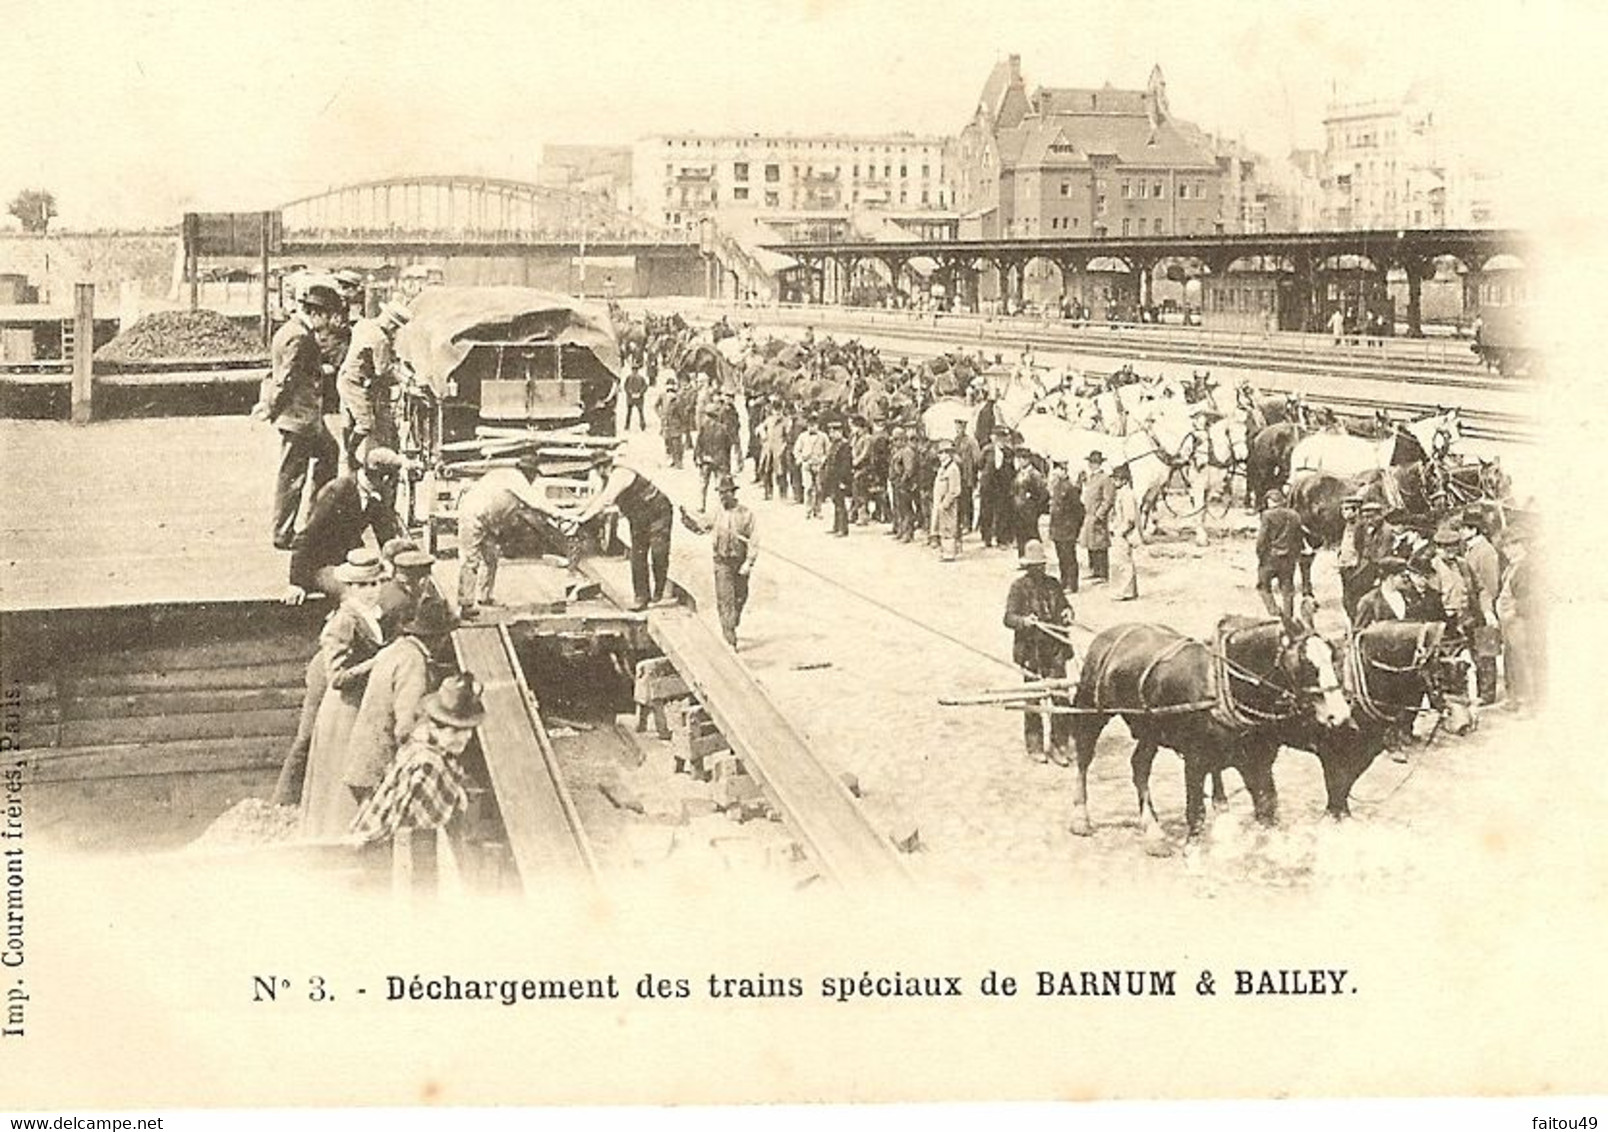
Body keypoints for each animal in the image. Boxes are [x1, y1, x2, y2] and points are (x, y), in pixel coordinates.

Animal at [1067, 617, 1357, 849]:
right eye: (1306, 663)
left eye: (1333, 656)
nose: (1340, 713)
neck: (1223, 684)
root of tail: (1108, 634)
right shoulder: (1195, 760)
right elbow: (1196, 811)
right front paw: (1193, 852)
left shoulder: (1258, 761)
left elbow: (1267, 806)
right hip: (1092, 710)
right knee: (1084, 757)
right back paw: (1081, 817)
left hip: (1149, 728)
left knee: (1139, 765)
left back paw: (1152, 829)